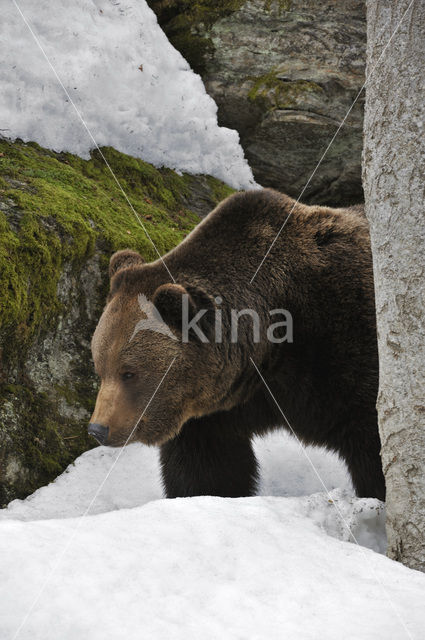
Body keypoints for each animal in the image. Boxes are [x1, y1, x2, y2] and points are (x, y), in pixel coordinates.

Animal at [89, 189, 384, 500]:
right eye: (100, 368)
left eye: (129, 372)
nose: (98, 429)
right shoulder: (215, 408)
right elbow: (208, 468)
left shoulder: (342, 343)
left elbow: (372, 440)